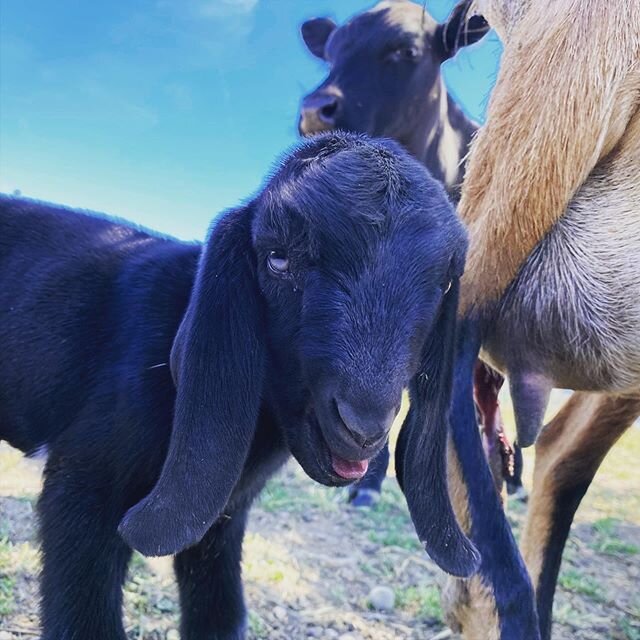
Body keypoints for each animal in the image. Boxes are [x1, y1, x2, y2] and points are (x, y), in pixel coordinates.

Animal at [0, 132, 478, 636]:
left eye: (445, 284)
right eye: (277, 258)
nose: (362, 425)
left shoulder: (222, 516)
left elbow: (221, 613)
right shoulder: (85, 482)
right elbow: (84, 619)